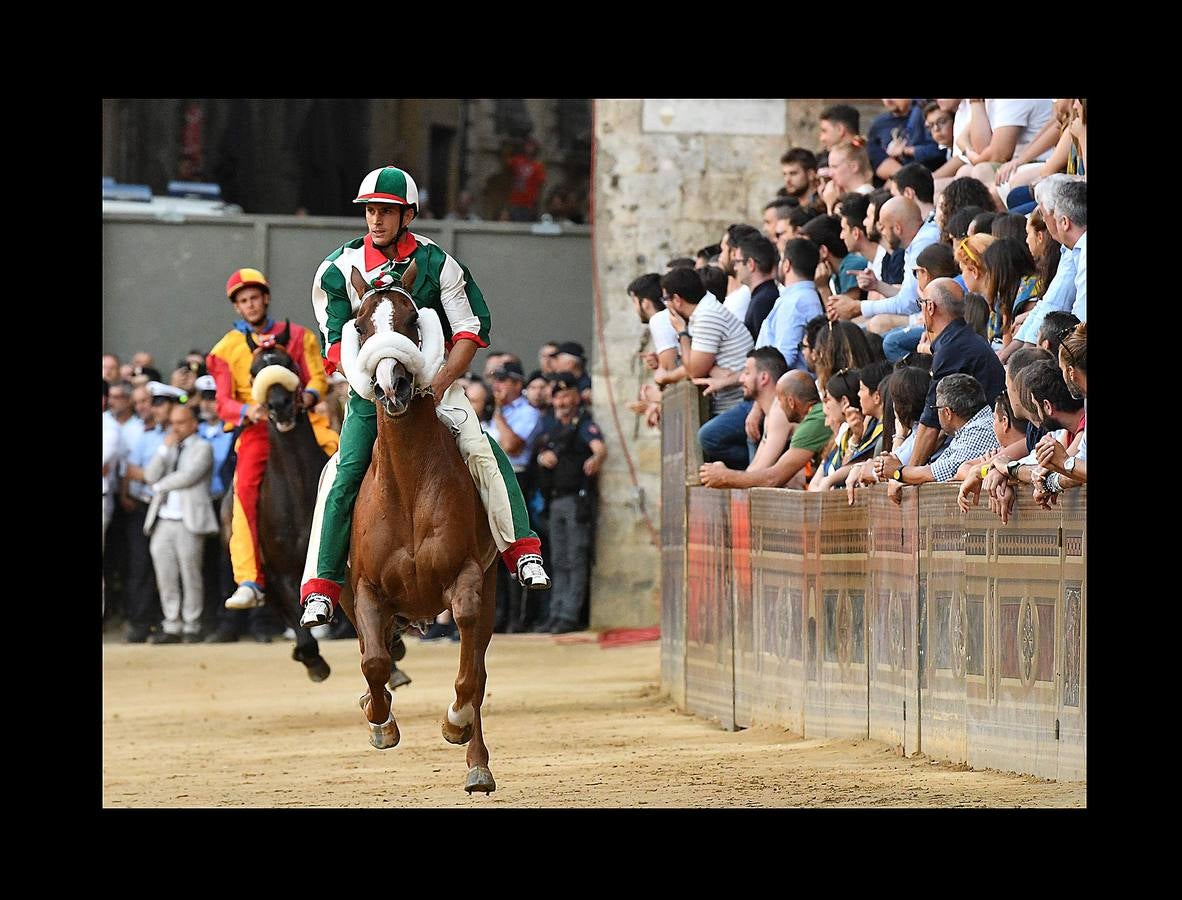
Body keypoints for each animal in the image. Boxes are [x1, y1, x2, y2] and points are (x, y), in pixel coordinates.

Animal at [340, 263, 496, 790]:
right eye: (360, 325)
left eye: (412, 321)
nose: (393, 386)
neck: (408, 486)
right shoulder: (366, 587)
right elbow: (372, 661)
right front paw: (380, 721)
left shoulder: (467, 573)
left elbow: (469, 664)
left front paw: (456, 720)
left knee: (477, 665)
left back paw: (477, 762)